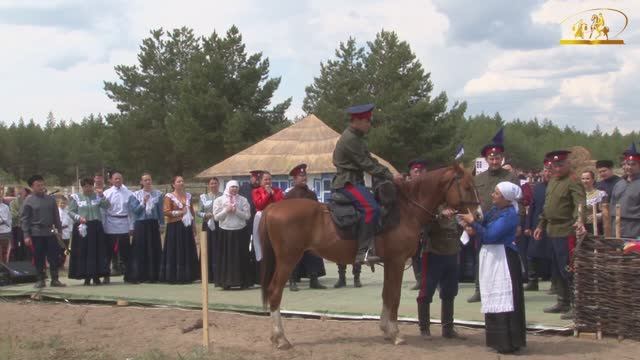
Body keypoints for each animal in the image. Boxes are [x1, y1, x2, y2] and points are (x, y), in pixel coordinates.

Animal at [258, 164, 478, 348]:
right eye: (467, 187)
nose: (476, 216)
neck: (405, 210)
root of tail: (273, 207)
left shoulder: (390, 263)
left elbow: (387, 294)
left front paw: (386, 330)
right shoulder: (397, 262)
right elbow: (395, 296)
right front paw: (395, 333)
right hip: (288, 260)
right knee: (275, 292)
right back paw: (281, 338)